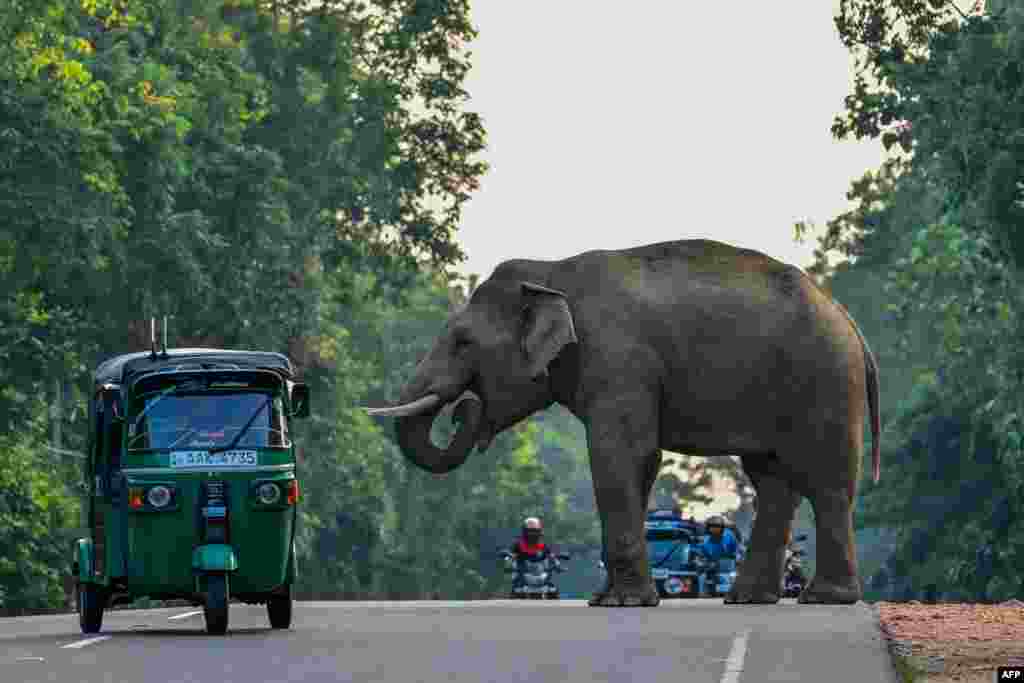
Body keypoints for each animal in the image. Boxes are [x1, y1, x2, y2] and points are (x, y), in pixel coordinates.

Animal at [364, 240, 876, 610]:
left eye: (463, 341)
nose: (462, 410)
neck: (551, 275)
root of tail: (847, 318)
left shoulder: (619, 360)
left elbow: (620, 454)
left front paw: (623, 604)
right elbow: (637, 464)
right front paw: (606, 599)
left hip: (826, 380)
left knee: (826, 481)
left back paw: (824, 598)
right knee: (771, 480)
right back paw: (749, 599)